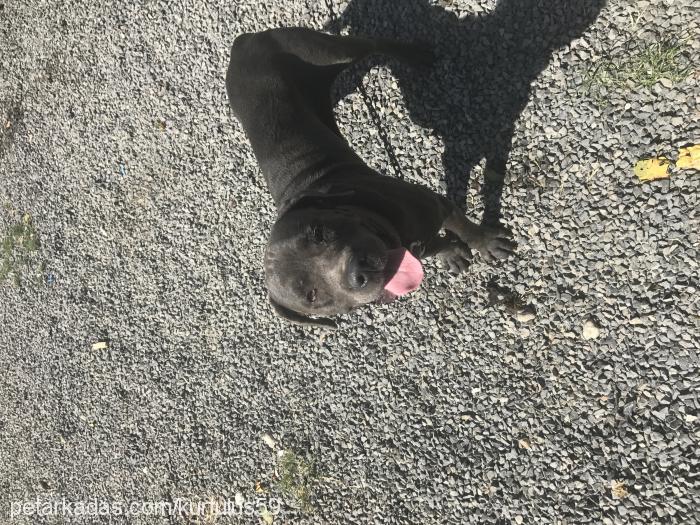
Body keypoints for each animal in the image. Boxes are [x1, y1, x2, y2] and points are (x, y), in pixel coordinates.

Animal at [227, 28, 516, 328]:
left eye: (320, 233)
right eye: (312, 296)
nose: (358, 271)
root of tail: (241, 43)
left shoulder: (435, 204)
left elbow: (466, 228)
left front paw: (486, 242)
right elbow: (440, 243)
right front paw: (452, 253)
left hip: (327, 51)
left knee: (374, 44)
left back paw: (416, 55)